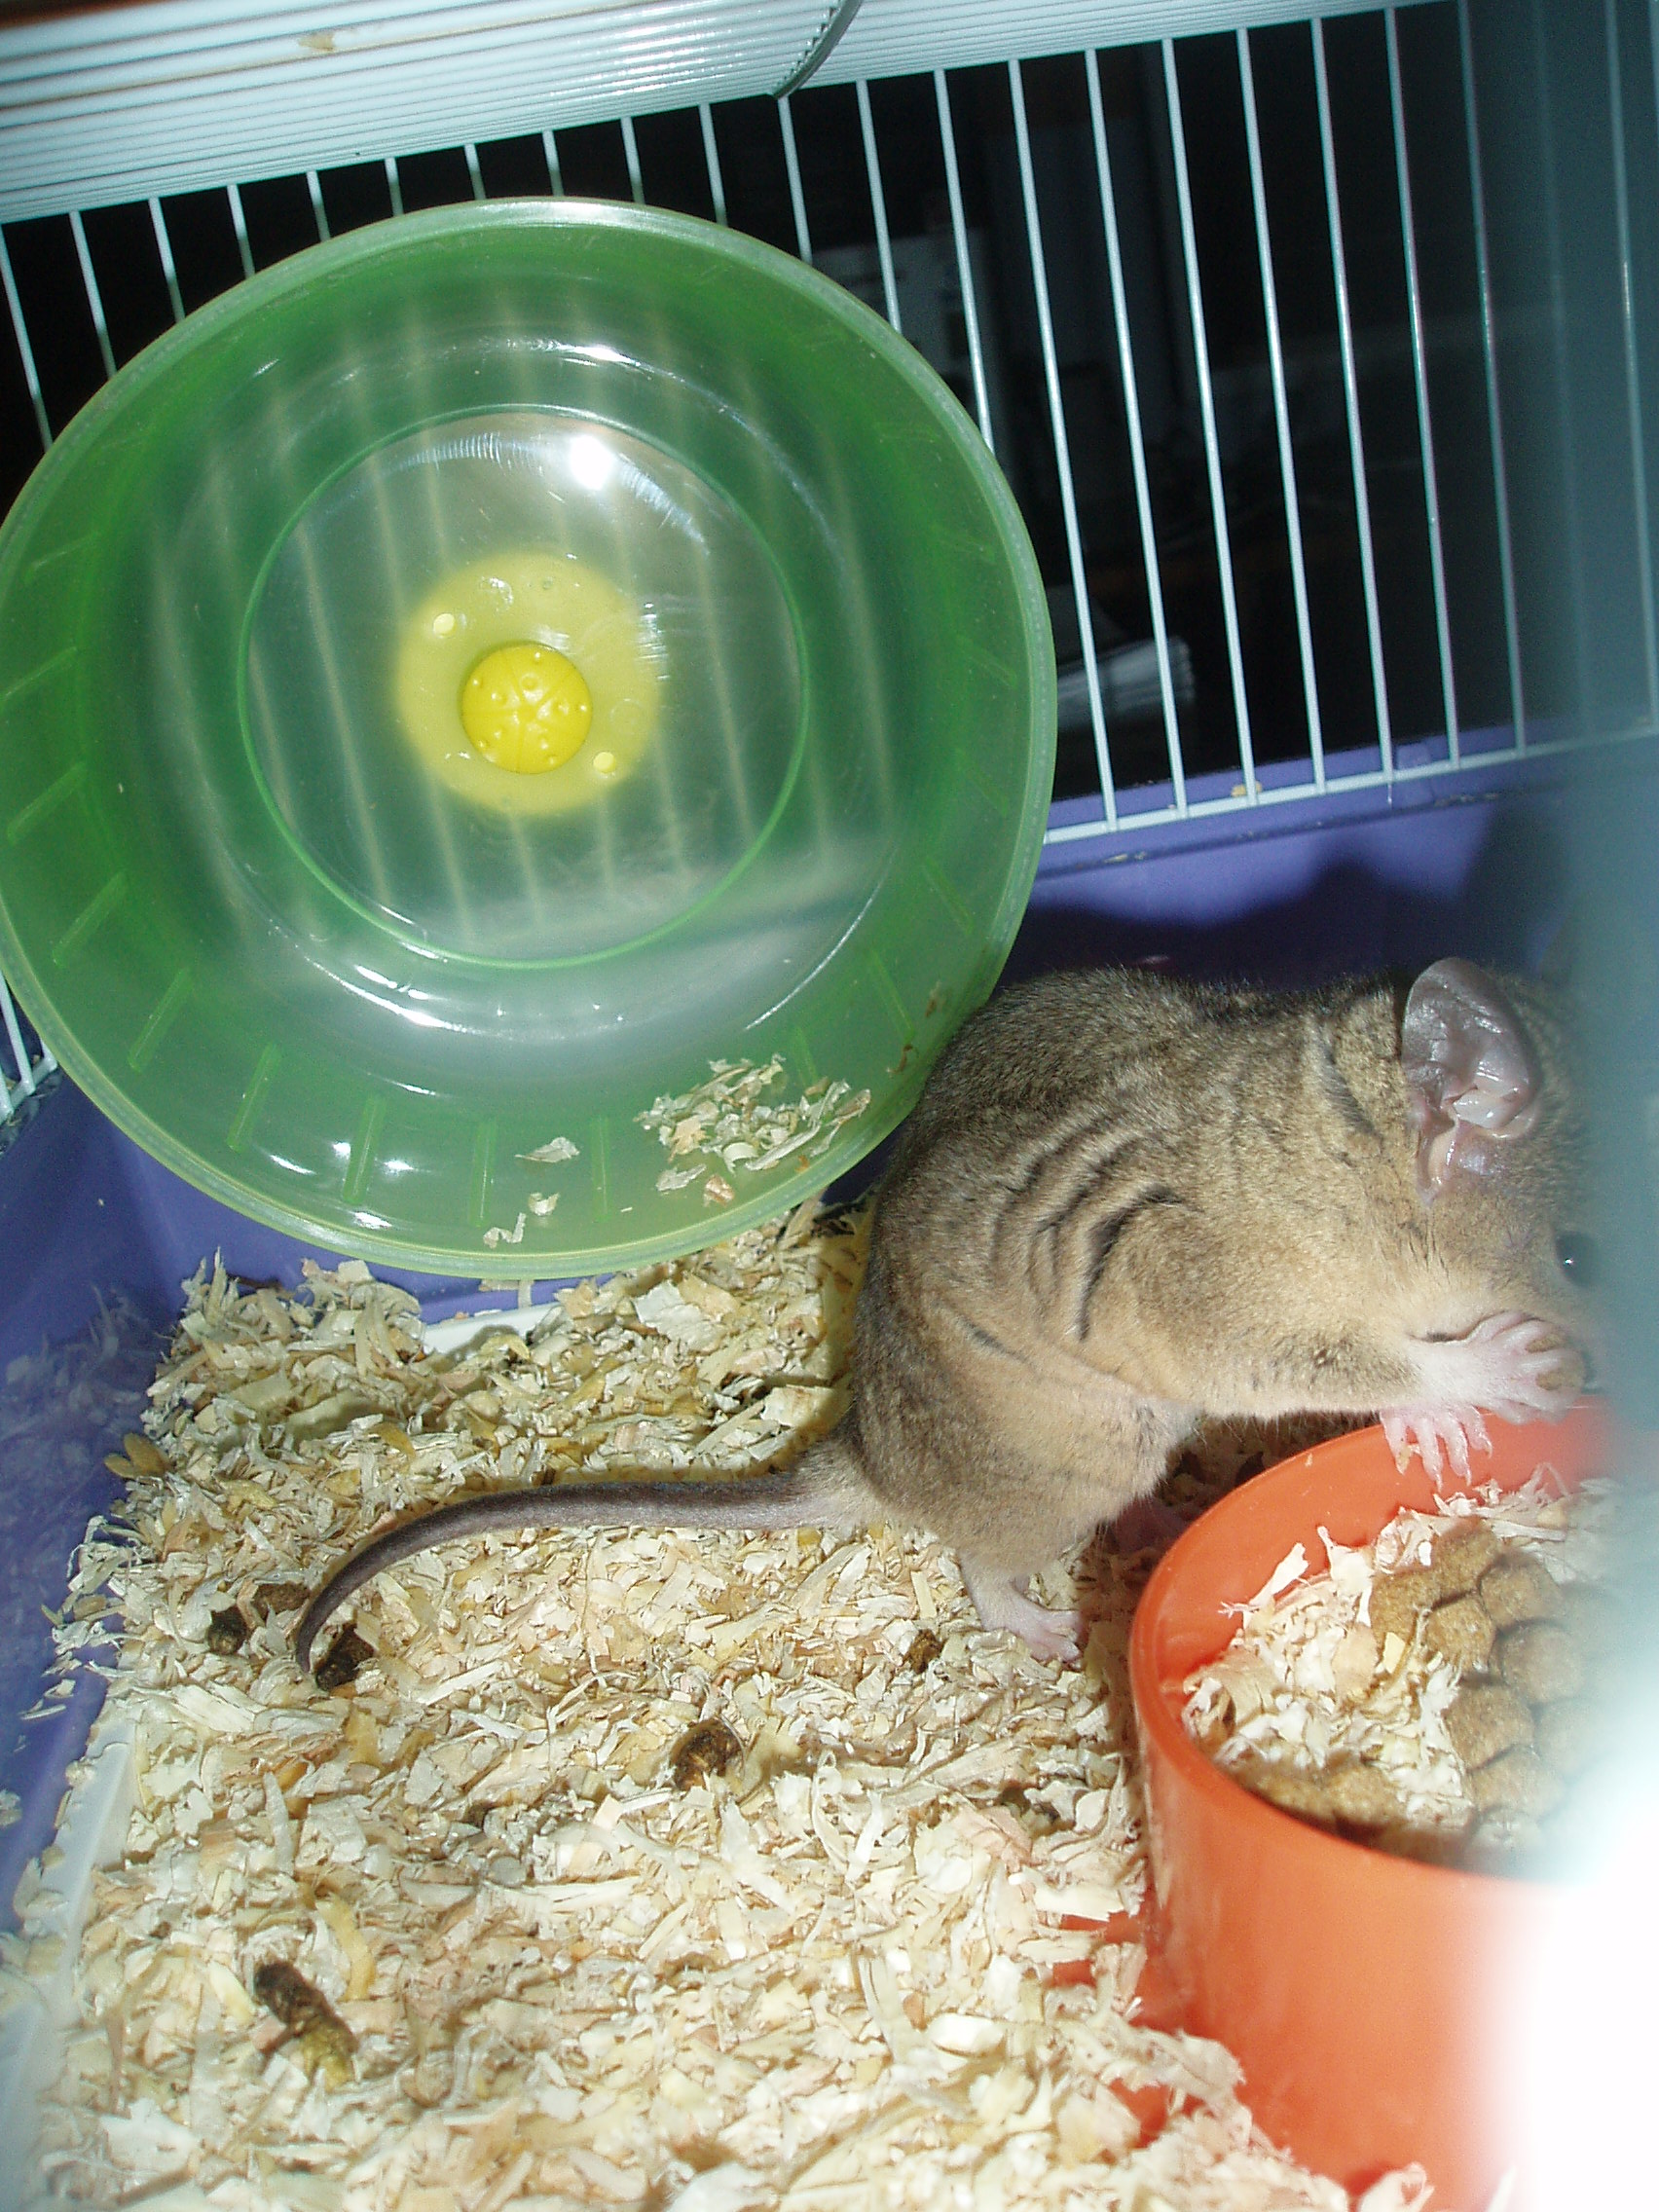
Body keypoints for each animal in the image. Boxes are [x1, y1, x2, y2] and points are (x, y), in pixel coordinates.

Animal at [295, 958, 1593, 1672]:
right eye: (1580, 1250)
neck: (1354, 1161)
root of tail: (870, 1465)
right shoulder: (1232, 1312)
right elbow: (1380, 1365)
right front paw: (1499, 1373)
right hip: (1090, 1453)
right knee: (979, 1563)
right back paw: (1045, 1630)